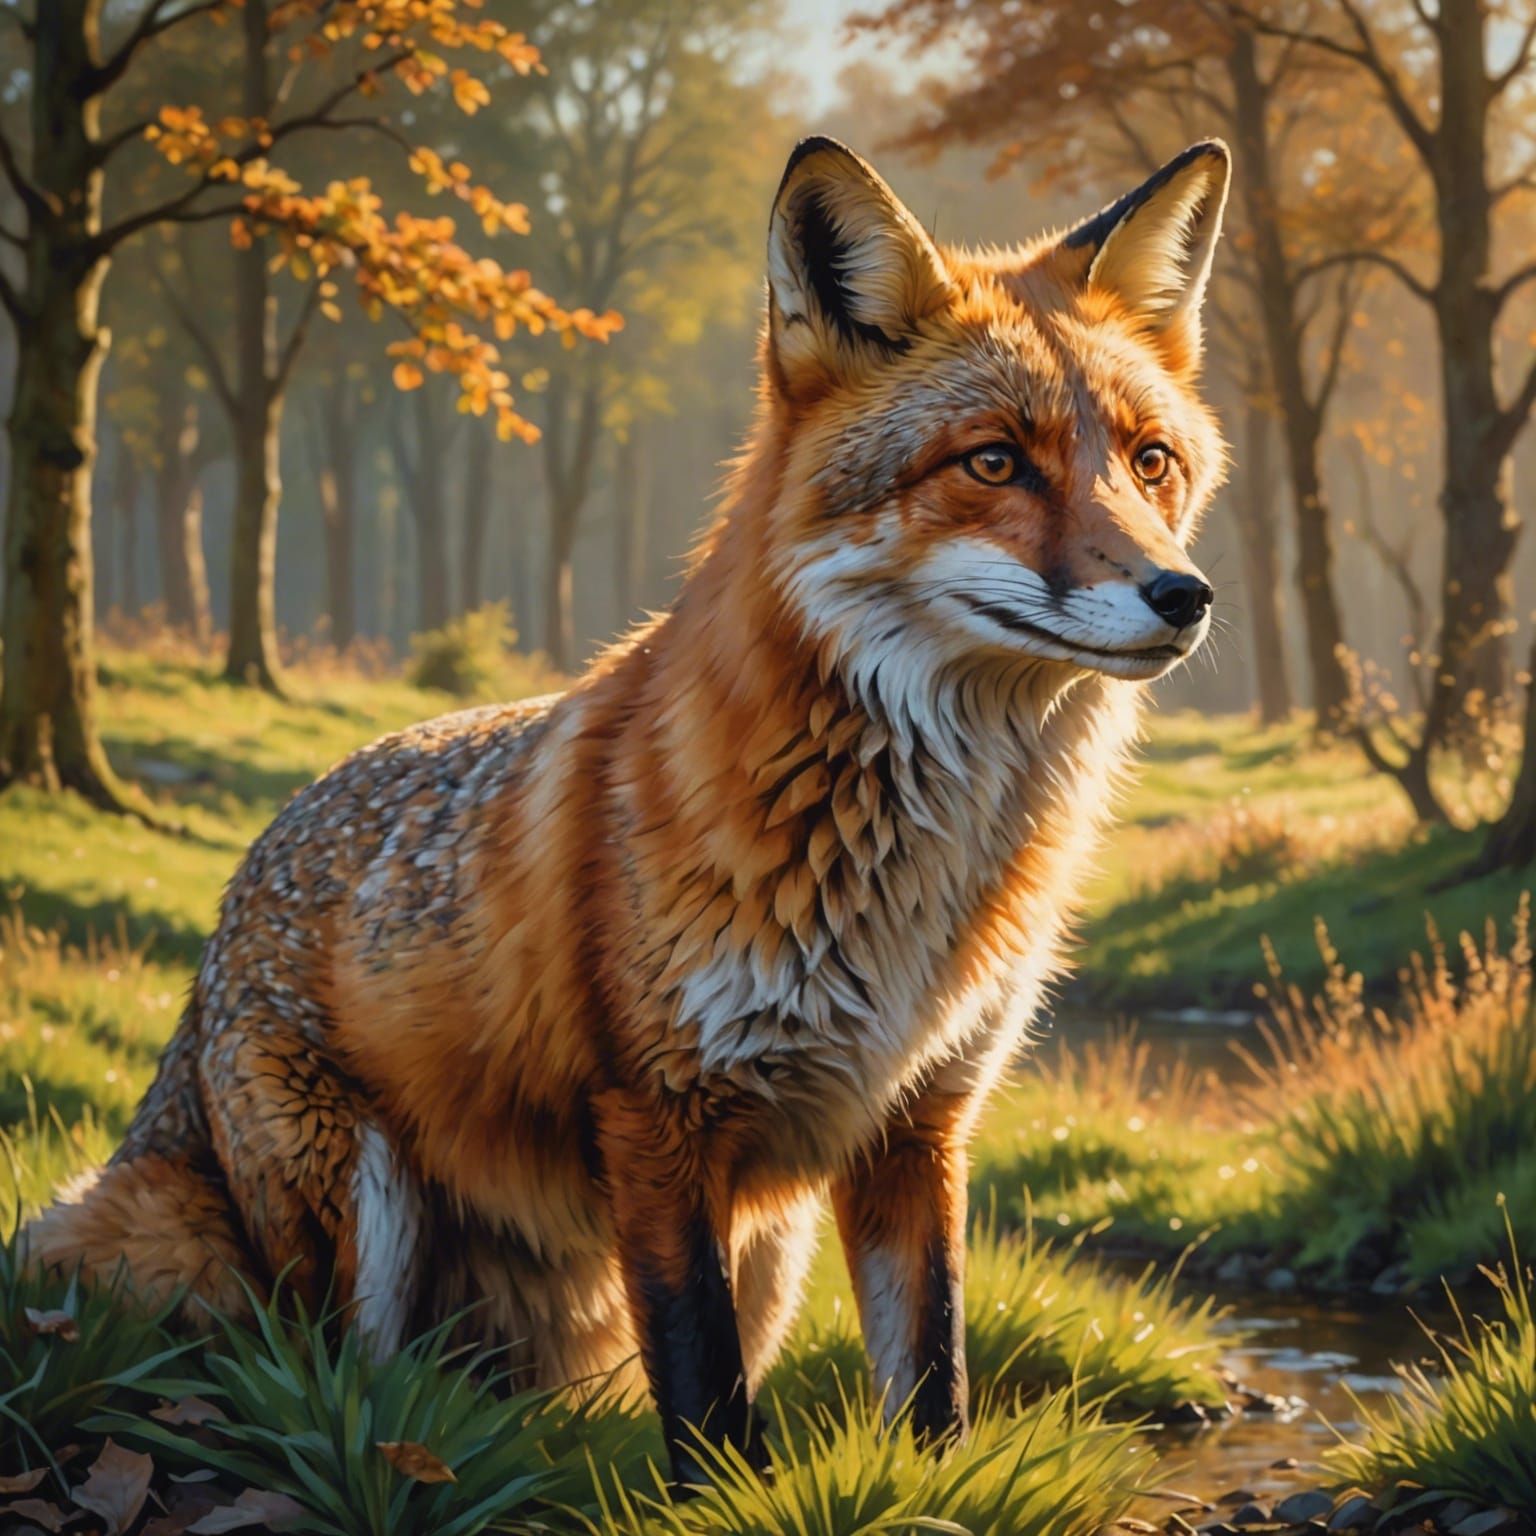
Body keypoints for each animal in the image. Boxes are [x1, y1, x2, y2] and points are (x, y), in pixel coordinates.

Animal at [28, 135, 1229, 1482]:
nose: (1184, 594)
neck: (908, 876)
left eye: (1150, 462)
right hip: (363, 1216)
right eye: (993, 462)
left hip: (758, 1251)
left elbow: (933, 1387)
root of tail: (238, 889)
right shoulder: (658, 1117)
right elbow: (709, 1406)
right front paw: (722, 1494)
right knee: (350, 1386)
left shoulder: (919, 1123)